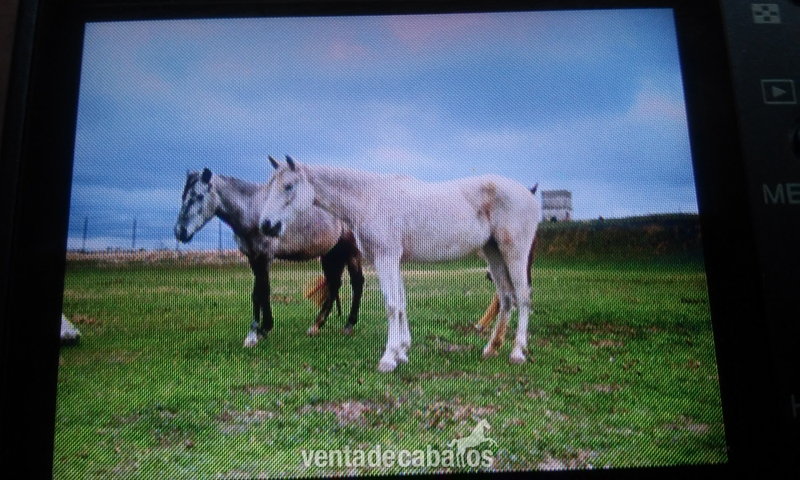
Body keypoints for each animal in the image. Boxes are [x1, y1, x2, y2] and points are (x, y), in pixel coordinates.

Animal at [174, 166, 364, 347]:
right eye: (183, 196)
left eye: (198, 196)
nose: (179, 231)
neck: (253, 209)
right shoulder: (253, 258)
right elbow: (258, 293)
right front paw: (258, 331)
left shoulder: (264, 257)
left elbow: (262, 291)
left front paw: (258, 332)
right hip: (330, 254)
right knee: (334, 285)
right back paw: (316, 326)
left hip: (351, 253)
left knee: (357, 283)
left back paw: (349, 325)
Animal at [258, 156, 540, 372]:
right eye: (270, 186)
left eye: (288, 186)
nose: (266, 225)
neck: (368, 198)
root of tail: (529, 195)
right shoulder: (393, 261)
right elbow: (401, 304)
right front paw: (402, 352)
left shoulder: (386, 258)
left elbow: (392, 306)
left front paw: (388, 358)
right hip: (494, 255)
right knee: (506, 299)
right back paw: (491, 349)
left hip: (514, 254)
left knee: (523, 297)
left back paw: (517, 352)